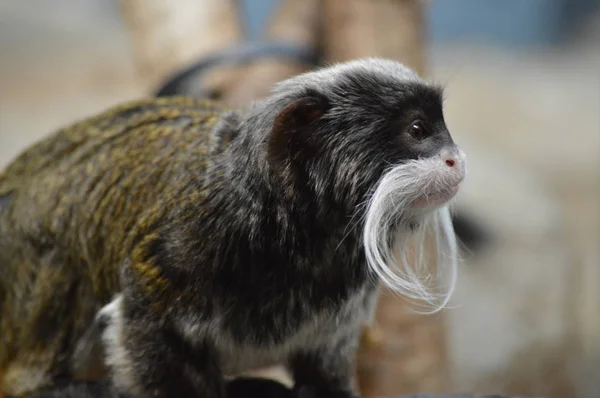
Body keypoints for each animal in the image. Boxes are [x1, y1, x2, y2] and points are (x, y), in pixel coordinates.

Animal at [0, 59, 468, 398]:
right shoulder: (178, 249)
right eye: (417, 129)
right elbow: (143, 329)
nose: (456, 158)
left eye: (442, 129)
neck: (299, 234)